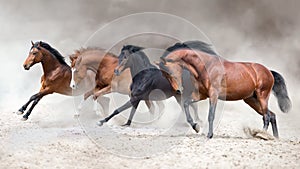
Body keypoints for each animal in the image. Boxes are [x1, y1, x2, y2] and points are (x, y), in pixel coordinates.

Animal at [161, 40, 292, 138]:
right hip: (252, 100)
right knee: (272, 115)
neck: (205, 66)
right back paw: (274, 137)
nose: (178, 91)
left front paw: (209, 135)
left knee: (266, 116)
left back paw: (260, 134)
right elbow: (186, 104)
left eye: (169, 73)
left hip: (262, 96)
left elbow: (211, 115)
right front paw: (196, 127)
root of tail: (268, 71)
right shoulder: (201, 95)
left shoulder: (213, 95)